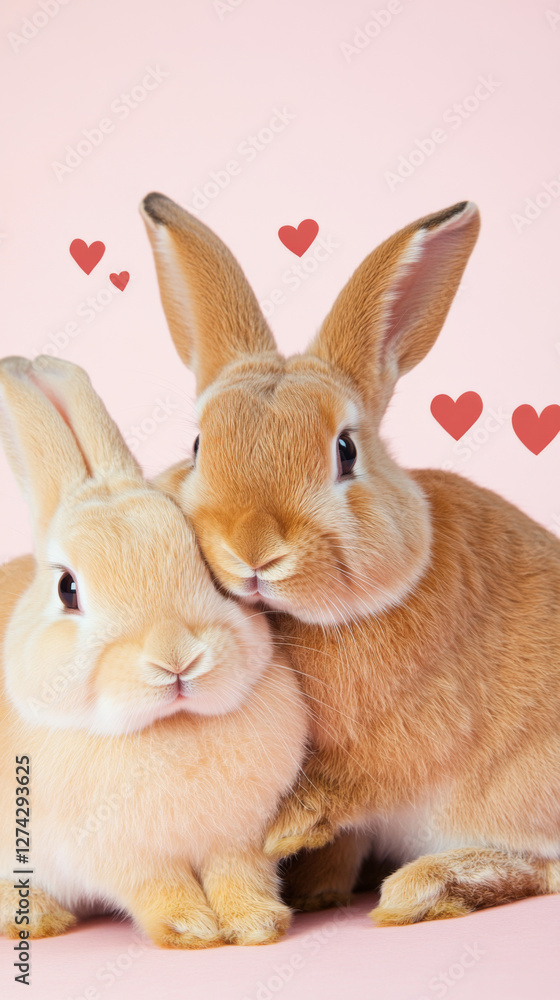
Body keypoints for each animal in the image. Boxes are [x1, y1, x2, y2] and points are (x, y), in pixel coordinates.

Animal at [0, 354, 308, 948]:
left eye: (208, 570)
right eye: (67, 589)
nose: (176, 658)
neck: (171, 727)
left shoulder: (238, 839)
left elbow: (239, 876)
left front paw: (257, 924)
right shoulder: (122, 858)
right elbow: (158, 889)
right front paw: (191, 930)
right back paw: (35, 919)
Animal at [140, 191, 560, 925]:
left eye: (345, 451)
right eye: (196, 447)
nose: (253, 548)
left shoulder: (404, 741)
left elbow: (351, 785)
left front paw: (281, 831)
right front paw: (315, 890)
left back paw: (430, 886)